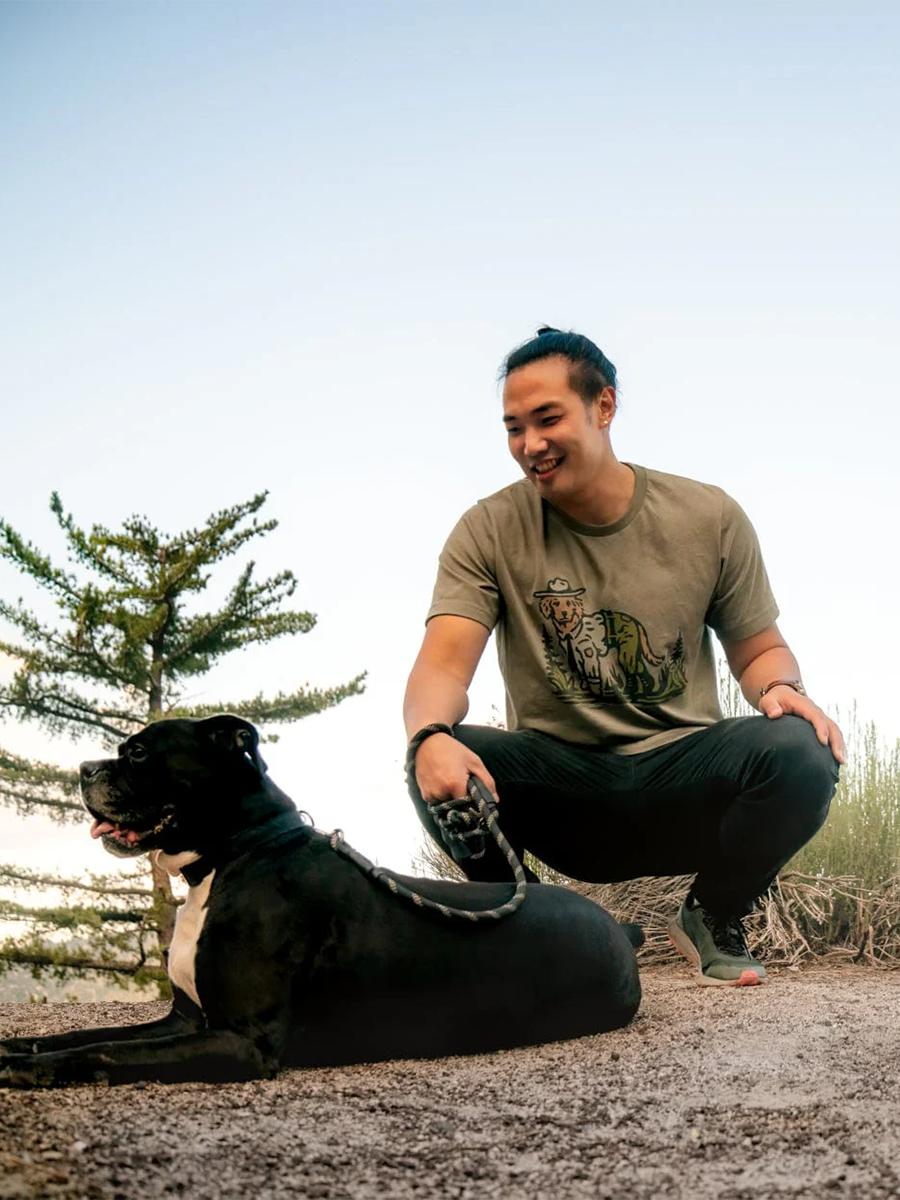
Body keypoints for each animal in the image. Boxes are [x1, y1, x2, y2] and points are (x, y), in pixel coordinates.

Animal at [0, 715, 641, 1087]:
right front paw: (16, 1048)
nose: (83, 769)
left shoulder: (242, 1041)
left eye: (137, 753)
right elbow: (89, 1036)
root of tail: (620, 926)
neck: (236, 853)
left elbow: (104, 1052)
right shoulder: (183, 1018)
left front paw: (29, 1071)